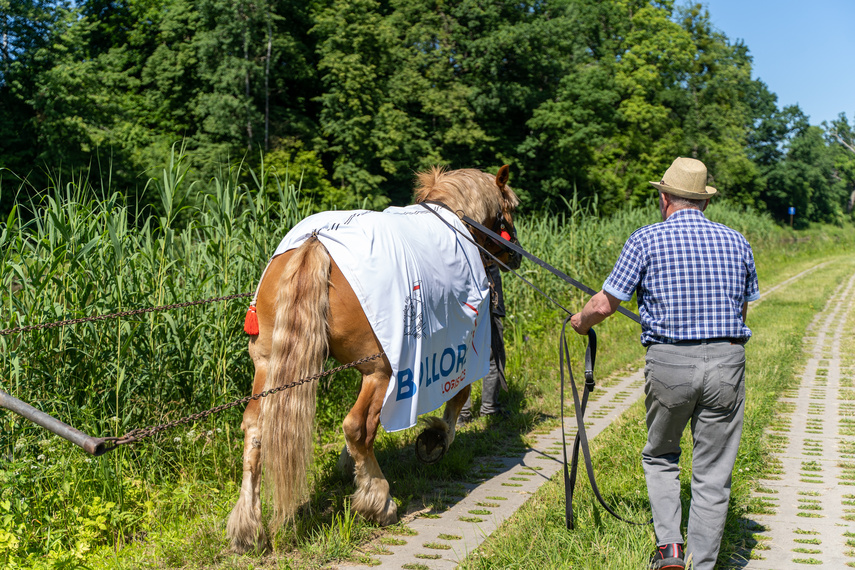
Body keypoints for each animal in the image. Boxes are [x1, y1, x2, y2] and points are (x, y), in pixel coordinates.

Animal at [227, 163, 520, 552]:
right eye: (511, 208)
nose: (516, 254)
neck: (454, 222)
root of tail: (315, 242)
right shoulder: (460, 346)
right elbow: (458, 396)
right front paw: (435, 440)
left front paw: (349, 468)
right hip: (383, 371)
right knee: (357, 427)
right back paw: (379, 502)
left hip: (268, 366)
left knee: (255, 428)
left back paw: (247, 527)